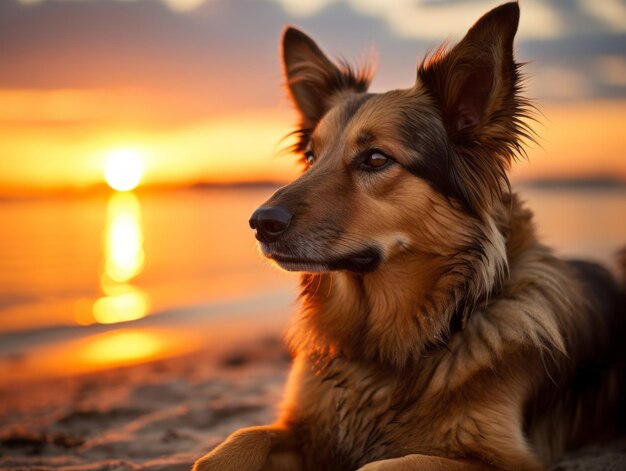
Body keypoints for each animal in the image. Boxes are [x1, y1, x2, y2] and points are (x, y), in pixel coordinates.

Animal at [193, 3, 620, 471]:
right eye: (310, 155)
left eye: (377, 158)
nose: (260, 223)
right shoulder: (305, 429)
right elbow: (237, 442)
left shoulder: (504, 459)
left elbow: (380, 466)